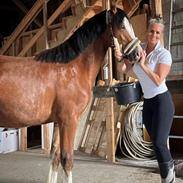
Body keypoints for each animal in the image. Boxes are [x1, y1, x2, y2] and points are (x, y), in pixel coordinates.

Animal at [0, 7, 140, 182]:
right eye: (121, 26)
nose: (137, 54)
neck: (72, 68)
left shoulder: (58, 122)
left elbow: (54, 157)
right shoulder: (69, 121)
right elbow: (67, 160)